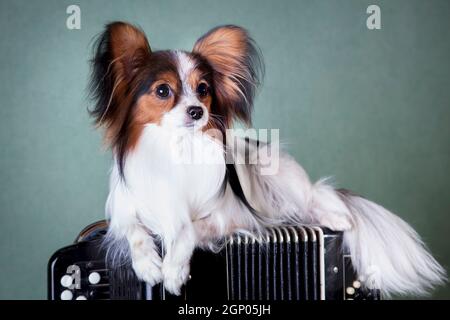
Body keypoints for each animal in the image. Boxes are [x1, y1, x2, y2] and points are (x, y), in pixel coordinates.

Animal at [87, 21, 442, 298]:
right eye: (163, 91)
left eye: (203, 90)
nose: (197, 111)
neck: (177, 148)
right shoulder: (123, 213)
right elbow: (135, 230)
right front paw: (149, 265)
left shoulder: (227, 217)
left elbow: (188, 229)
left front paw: (174, 270)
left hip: (279, 175)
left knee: (312, 198)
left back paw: (335, 218)